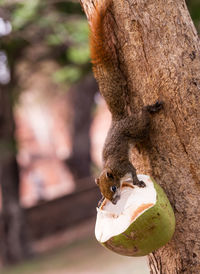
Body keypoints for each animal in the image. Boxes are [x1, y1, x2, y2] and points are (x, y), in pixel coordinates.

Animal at [90, 0, 163, 204]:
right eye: (103, 191)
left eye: (113, 188)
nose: (114, 202)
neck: (111, 171)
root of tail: (118, 120)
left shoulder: (123, 166)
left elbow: (133, 170)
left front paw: (137, 181)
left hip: (137, 127)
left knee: (143, 116)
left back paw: (151, 108)